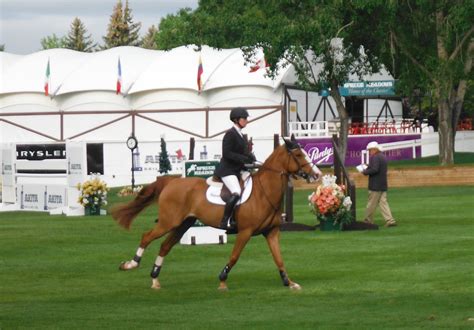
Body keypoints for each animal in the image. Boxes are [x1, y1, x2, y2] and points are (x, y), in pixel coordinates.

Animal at [110, 138, 322, 290]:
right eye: (298, 154)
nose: (317, 175)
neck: (264, 192)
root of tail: (171, 181)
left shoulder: (271, 232)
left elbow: (278, 258)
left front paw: (289, 282)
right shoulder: (245, 232)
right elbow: (234, 256)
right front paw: (222, 280)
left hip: (183, 224)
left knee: (164, 246)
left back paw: (155, 279)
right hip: (168, 222)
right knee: (146, 237)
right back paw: (131, 265)